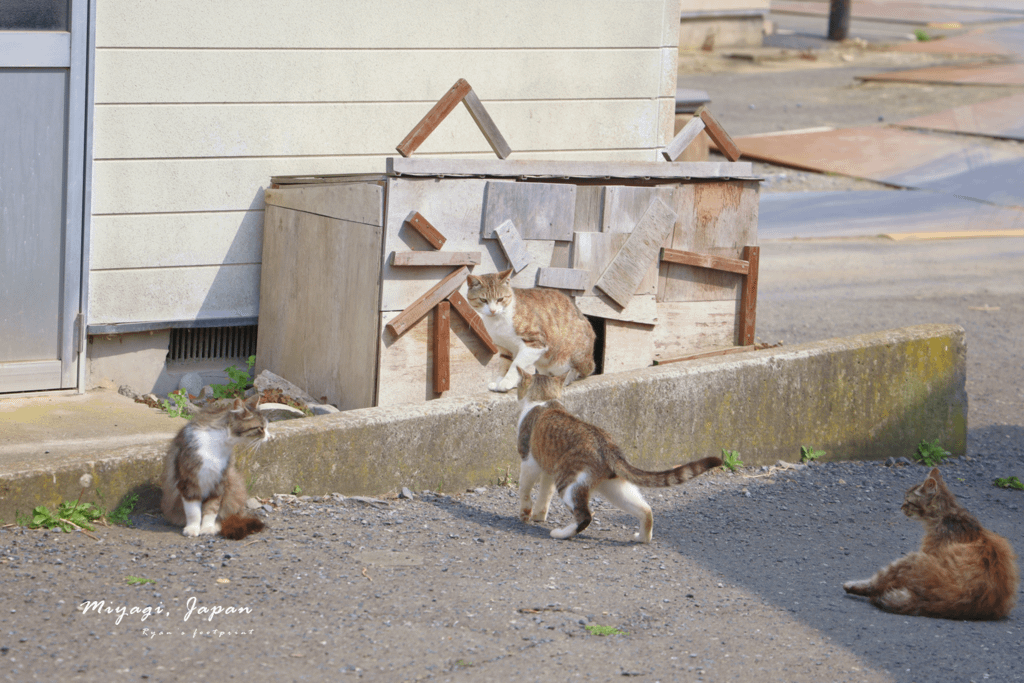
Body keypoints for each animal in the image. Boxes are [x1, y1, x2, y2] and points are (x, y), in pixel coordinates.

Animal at [160, 393, 268, 540]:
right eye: (261, 428)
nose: (269, 436)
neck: (219, 442)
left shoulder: (219, 481)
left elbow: (212, 509)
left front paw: (208, 528)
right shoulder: (189, 482)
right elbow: (193, 512)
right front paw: (193, 529)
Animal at [516, 370, 724, 540]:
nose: (516, 393)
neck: (545, 400)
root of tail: (607, 446)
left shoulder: (528, 459)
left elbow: (525, 488)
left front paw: (525, 513)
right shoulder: (547, 464)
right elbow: (545, 492)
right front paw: (539, 514)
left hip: (569, 482)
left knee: (585, 516)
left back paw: (561, 533)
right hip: (614, 487)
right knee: (645, 509)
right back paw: (642, 537)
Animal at [843, 471, 1019, 618]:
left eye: (908, 501)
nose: (900, 507)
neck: (948, 515)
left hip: (910, 559)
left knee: (875, 584)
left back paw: (851, 585)